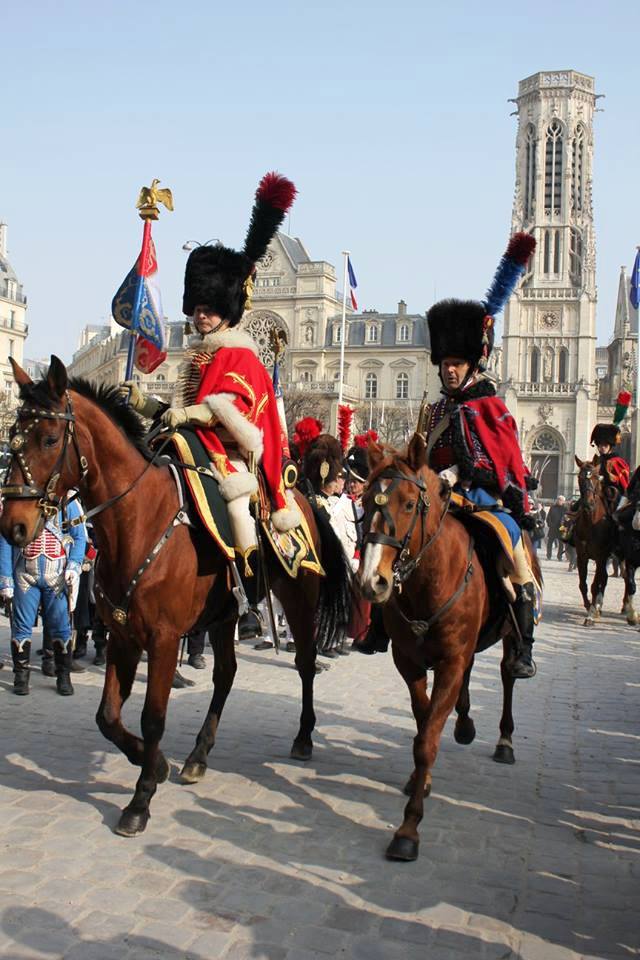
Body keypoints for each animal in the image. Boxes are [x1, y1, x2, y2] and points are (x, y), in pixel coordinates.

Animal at [0, 356, 350, 836]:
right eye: (13, 434)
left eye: (50, 438)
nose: (12, 526)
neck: (139, 521)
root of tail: (301, 495)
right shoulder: (124, 636)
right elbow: (108, 715)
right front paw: (157, 765)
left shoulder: (163, 640)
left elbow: (152, 718)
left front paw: (141, 798)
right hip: (225, 614)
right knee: (226, 674)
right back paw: (199, 755)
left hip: (297, 598)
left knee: (304, 662)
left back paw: (303, 736)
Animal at [358, 436, 536, 864]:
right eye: (365, 501)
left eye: (409, 504)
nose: (372, 582)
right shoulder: (409, 662)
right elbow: (424, 723)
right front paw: (419, 781)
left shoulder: (450, 661)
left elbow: (426, 742)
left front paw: (408, 830)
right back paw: (465, 724)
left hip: (509, 635)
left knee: (507, 675)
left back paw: (505, 741)